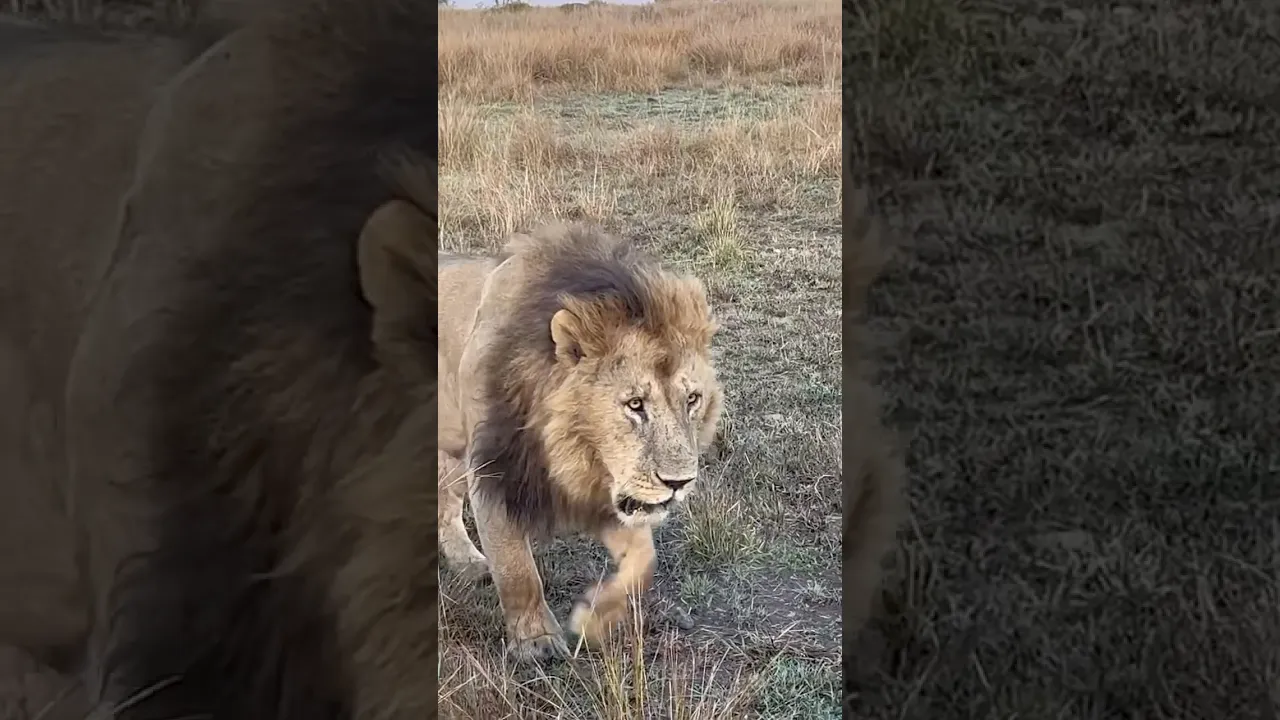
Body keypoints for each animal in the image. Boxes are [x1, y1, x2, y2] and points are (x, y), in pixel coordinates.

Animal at [438, 223, 723, 661]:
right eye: (635, 404)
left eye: (692, 399)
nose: (679, 483)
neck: (574, 452)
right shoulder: (494, 469)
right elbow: (516, 566)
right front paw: (535, 642)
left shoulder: (608, 493)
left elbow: (644, 559)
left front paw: (593, 620)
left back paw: (467, 563)